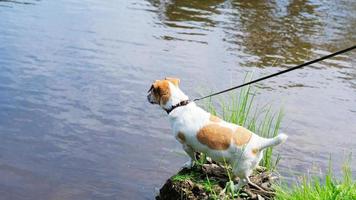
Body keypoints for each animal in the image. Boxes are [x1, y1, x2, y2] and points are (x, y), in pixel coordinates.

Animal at [146, 77, 288, 191]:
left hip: (239, 168)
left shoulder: (186, 145)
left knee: (245, 181)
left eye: (152, 89)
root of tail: (259, 142)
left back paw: (234, 188)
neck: (178, 105)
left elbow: (192, 158)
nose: (146, 96)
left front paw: (189, 165)